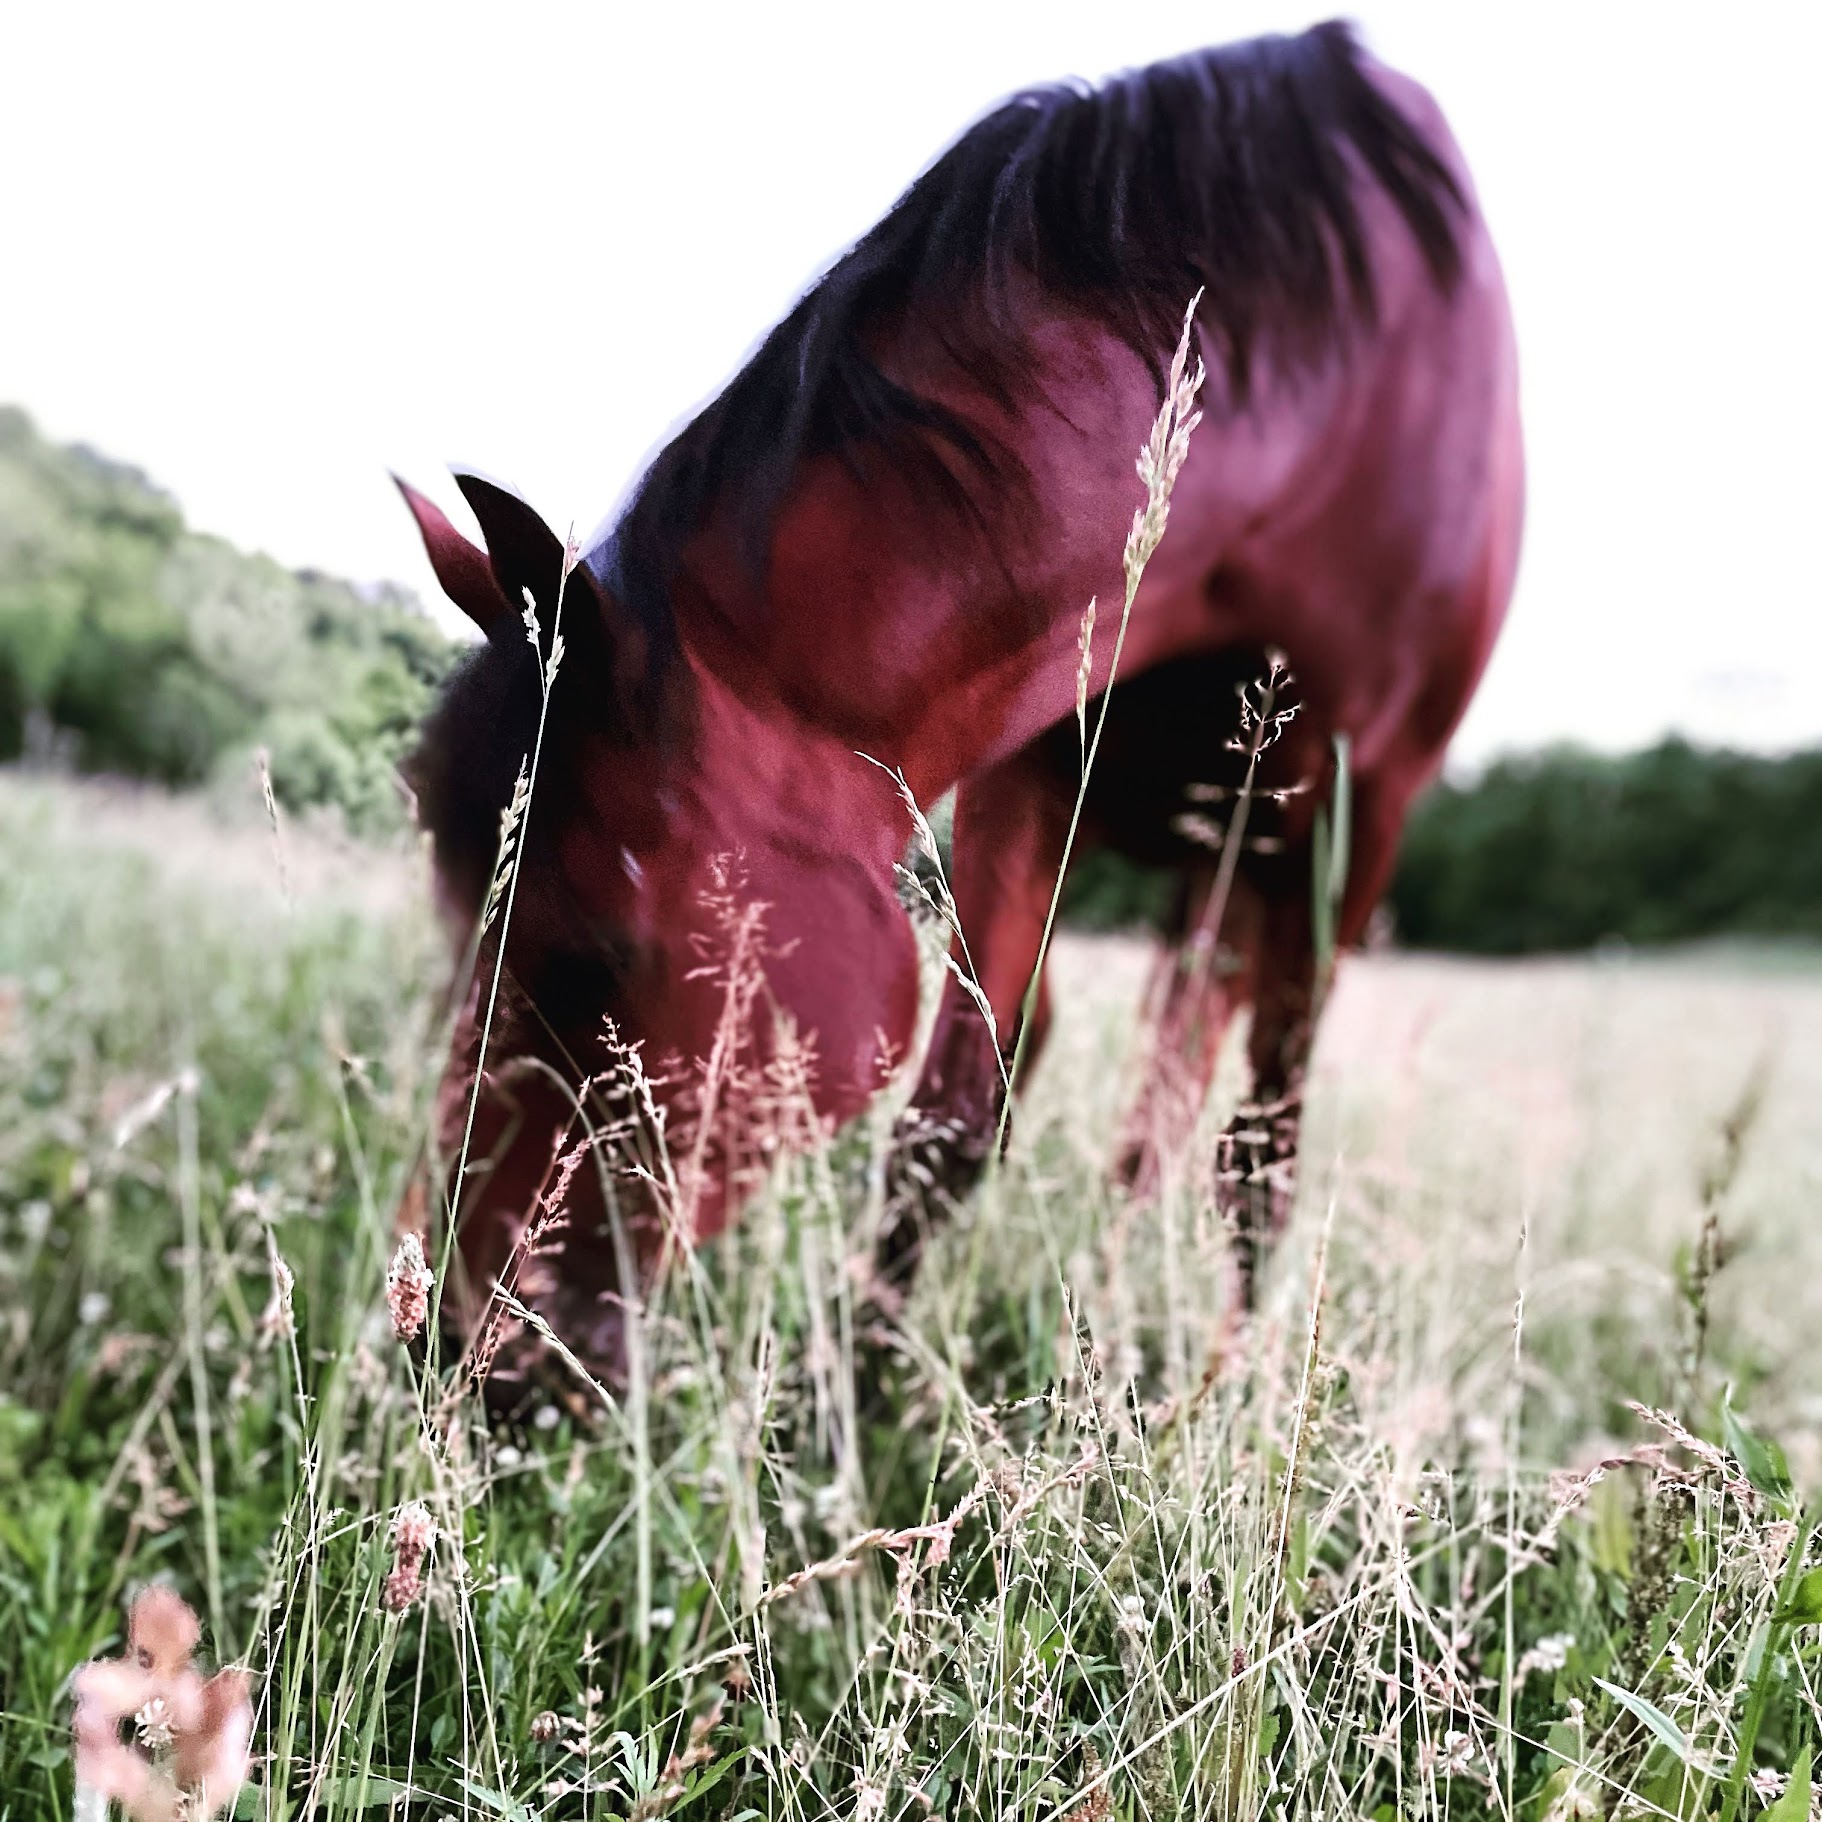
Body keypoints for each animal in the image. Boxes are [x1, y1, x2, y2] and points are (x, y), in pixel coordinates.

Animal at [396, 20, 1523, 1380]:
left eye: (589, 956)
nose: (454, 1340)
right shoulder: (1030, 770)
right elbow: (955, 1109)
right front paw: (873, 1392)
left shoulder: (1350, 815)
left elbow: (1260, 1162)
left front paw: (1221, 1400)